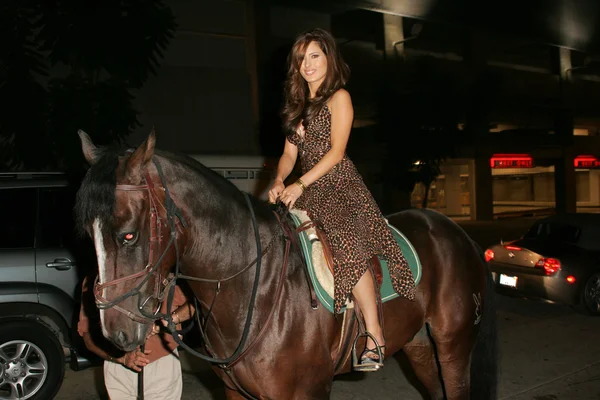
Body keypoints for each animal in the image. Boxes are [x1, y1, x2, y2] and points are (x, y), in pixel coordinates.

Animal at [74, 130, 496, 398]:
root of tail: (459, 234)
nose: (115, 334)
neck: (253, 288)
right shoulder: (236, 394)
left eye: (129, 235)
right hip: (420, 347)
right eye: (86, 235)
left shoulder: (308, 392)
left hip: (453, 348)